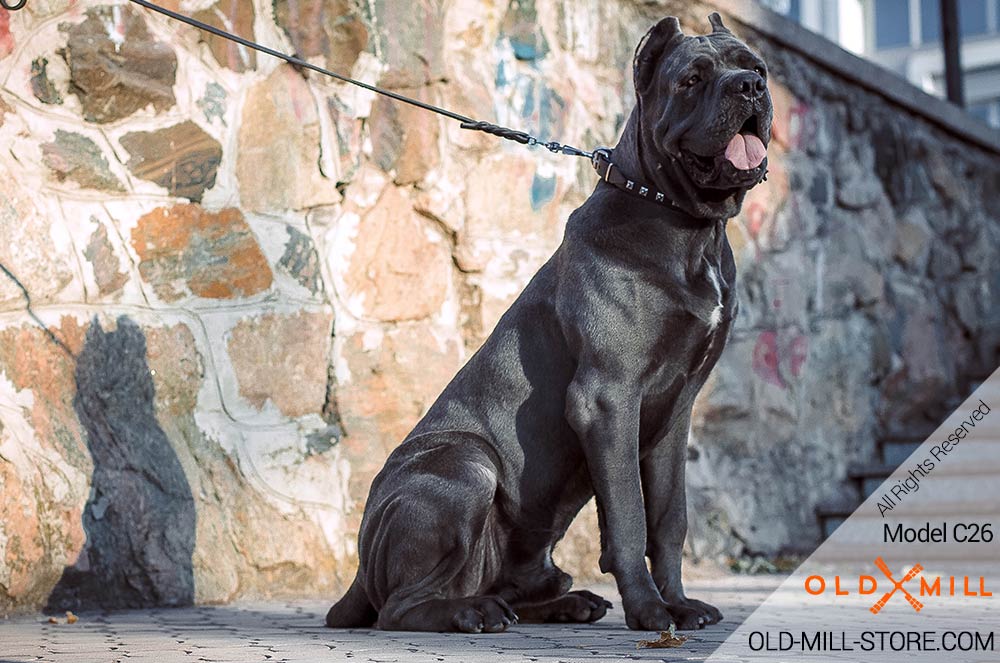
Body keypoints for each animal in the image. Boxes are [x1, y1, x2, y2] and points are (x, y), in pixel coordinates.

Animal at [328, 10, 772, 632]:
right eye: (692, 80)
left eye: (755, 67)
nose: (749, 88)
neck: (683, 223)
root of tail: (358, 569)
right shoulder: (608, 398)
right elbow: (629, 517)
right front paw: (650, 611)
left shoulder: (674, 413)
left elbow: (668, 519)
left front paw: (680, 604)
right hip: (467, 465)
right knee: (400, 606)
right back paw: (471, 613)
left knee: (514, 586)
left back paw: (560, 602)